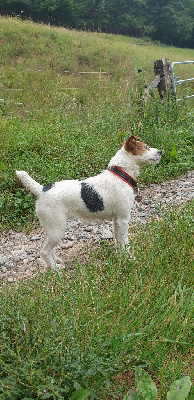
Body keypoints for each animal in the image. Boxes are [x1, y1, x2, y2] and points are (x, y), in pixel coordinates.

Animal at [15, 136, 162, 270]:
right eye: (145, 147)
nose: (160, 151)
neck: (120, 175)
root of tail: (41, 190)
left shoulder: (116, 220)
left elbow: (119, 239)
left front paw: (120, 255)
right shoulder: (123, 219)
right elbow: (124, 241)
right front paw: (128, 258)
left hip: (53, 230)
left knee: (50, 249)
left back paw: (56, 261)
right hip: (57, 229)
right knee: (44, 251)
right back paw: (55, 269)